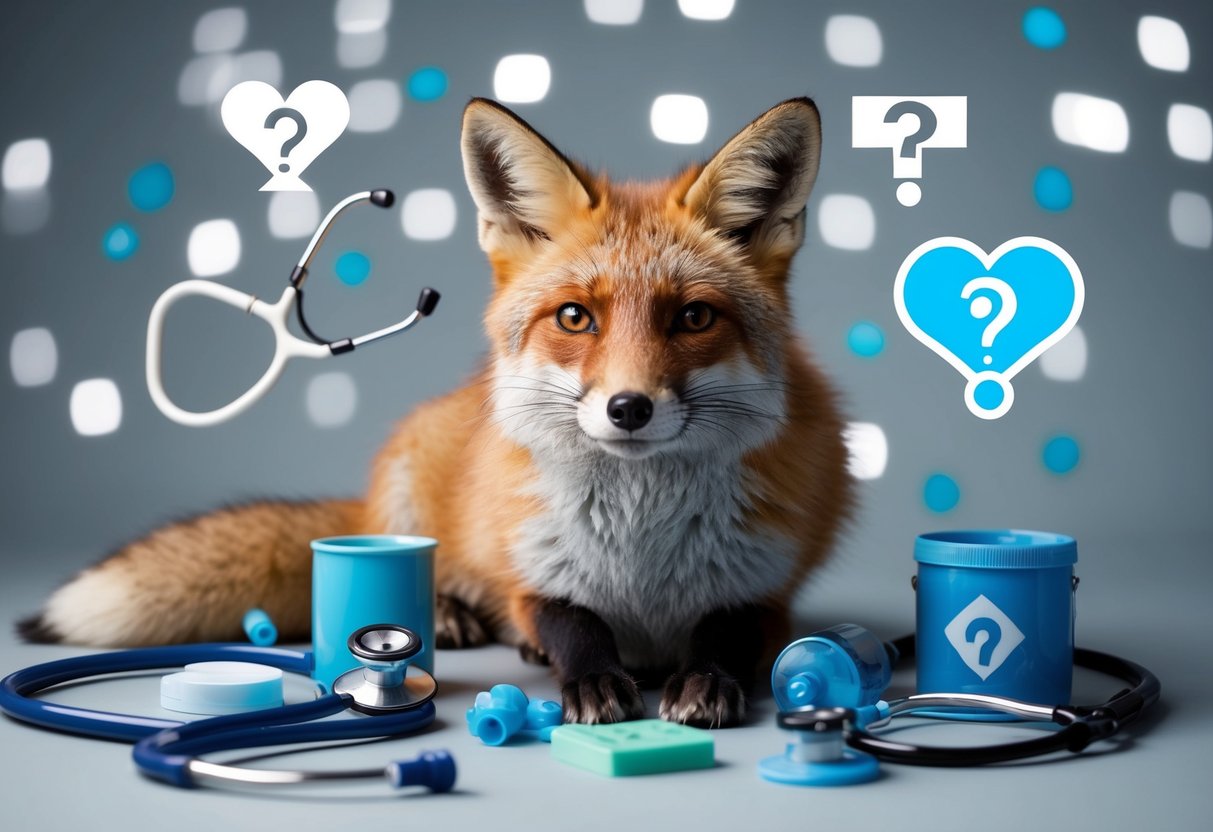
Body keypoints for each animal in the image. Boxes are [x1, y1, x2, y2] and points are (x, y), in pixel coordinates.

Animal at [19, 96, 851, 728]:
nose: (628, 408)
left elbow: (726, 635)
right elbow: (569, 622)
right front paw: (587, 678)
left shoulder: (764, 590)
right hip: (414, 477)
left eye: (693, 318)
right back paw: (456, 614)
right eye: (575, 317)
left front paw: (706, 681)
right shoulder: (528, 563)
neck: (641, 553)